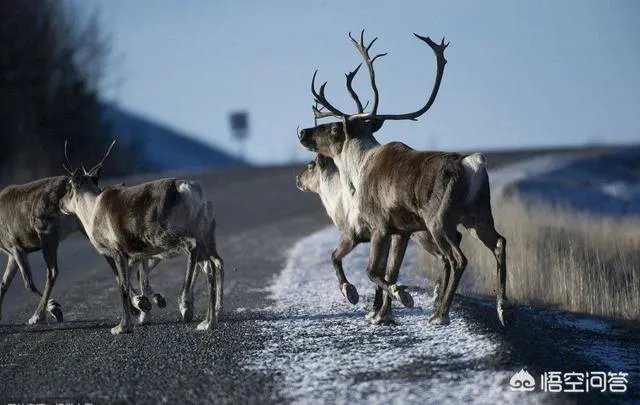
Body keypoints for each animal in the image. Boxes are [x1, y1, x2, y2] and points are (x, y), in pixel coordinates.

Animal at [59, 144, 224, 334]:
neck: (91, 211)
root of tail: (187, 188)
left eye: (69, 187)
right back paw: (208, 321)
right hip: (203, 233)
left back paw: (185, 303)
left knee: (193, 247)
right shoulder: (138, 254)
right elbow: (140, 279)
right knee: (211, 265)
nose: (60, 204)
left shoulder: (117, 252)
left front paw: (123, 326)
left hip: (163, 235)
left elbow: (122, 285)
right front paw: (144, 306)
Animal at [296, 154, 461, 324]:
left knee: (447, 254)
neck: (338, 199)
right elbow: (380, 272)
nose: (297, 179)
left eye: (310, 165)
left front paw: (351, 293)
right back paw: (437, 297)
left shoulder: (352, 236)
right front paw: (376, 310)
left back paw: (438, 300)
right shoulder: (382, 237)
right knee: (451, 247)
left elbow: (334, 257)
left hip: (425, 235)